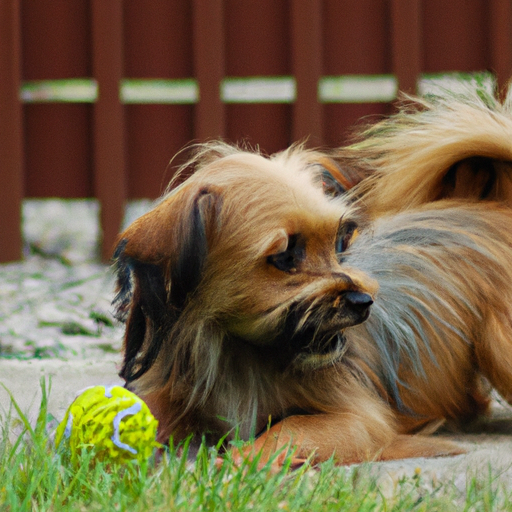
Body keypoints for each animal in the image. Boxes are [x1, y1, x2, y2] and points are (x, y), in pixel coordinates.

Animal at [113, 134, 512, 466]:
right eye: (286, 255)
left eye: (340, 240)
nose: (363, 301)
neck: (240, 353)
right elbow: (145, 410)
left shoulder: (359, 420)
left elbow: (291, 428)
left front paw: (243, 461)